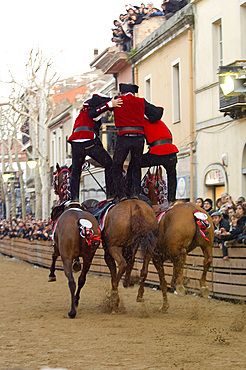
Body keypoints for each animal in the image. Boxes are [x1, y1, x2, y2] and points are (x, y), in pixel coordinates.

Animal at [49, 165, 101, 318]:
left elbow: (53, 256)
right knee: (82, 279)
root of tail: (80, 221)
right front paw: (77, 264)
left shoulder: (57, 247)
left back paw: (72, 311)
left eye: (55, 175)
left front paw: (51, 275)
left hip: (66, 257)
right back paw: (76, 300)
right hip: (89, 257)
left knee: (71, 281)